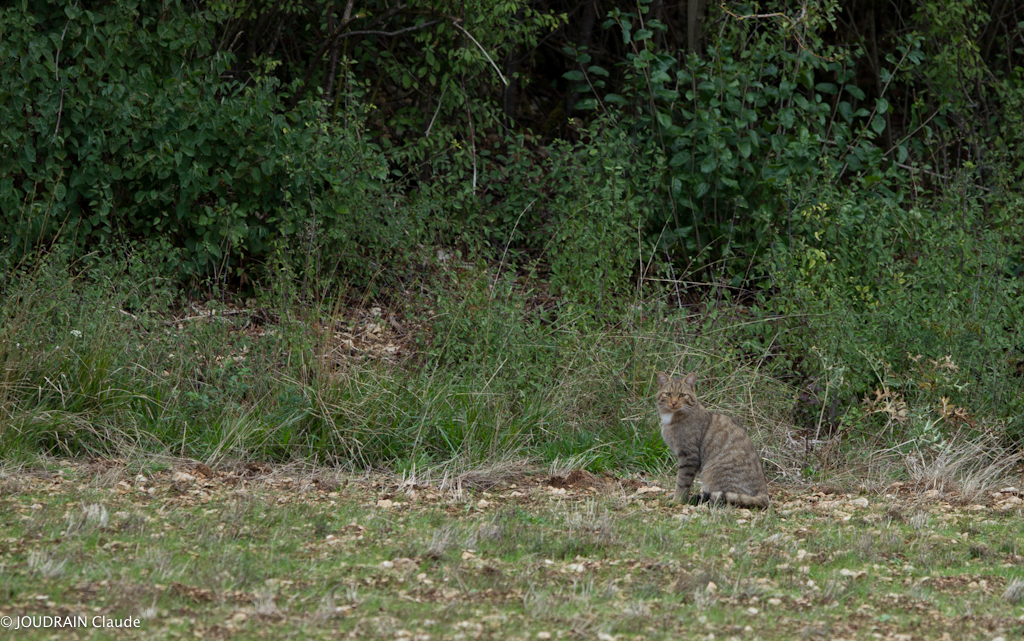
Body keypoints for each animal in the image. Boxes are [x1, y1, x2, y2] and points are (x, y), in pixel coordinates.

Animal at [655, 372, 770, 505]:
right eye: (668, 394)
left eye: (682, 395)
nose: (673, 402)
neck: (671, 417)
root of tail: (764, 492)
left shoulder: (689, 456)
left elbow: (682, 482)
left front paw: (677, 500)